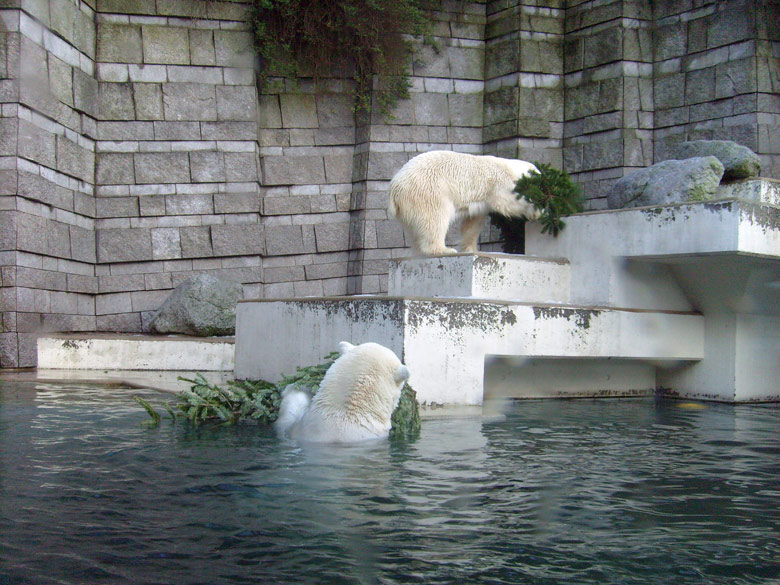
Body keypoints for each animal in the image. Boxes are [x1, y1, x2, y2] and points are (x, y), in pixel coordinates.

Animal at [386, 149, 540, 254]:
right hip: (430, 191)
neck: (511, 168)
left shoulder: (481, 202)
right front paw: (536, 212)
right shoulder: (500, 183)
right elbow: (507, 202)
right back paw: (443, 249)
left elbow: (472, 223)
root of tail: (395, 187)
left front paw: (471, 249)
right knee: (435, 219)